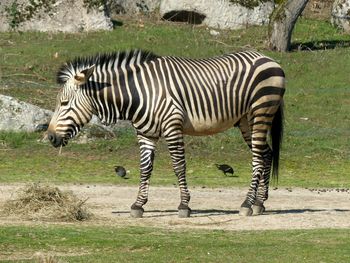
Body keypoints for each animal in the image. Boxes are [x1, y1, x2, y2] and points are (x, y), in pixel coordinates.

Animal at [47, 49, 286, 219]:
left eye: (64, 103)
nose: (49, 137)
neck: (139, 93)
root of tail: (268, 58)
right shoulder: (145, 133)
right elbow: (145, 168)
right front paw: (138, 205)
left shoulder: (173, 127)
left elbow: (178, 166)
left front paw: (184, 206)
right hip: (246, 121)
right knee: (266, 154)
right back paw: (260, 203)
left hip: (261, 112)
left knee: (258, 159)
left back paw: (246, 204)